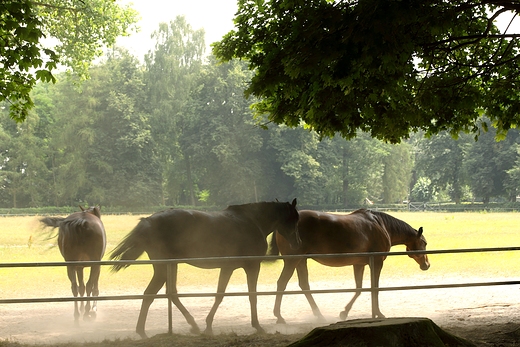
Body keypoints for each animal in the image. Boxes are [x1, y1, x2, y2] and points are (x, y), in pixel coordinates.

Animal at [109, 200, 300, 338]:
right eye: (294, 219)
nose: (297, 243)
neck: (252, 222)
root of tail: (149, 221)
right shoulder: (252, 267)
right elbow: (252, 296)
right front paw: (258, 326)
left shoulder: (228, 268)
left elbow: (219, 295)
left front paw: (208, 325)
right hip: (163, 268)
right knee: (150, 294)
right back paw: (142, 331)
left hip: (171, 266)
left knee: (171, 293)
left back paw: (193, 325)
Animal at [268, 209, 430, 326]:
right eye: (425, 243)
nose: (426, 265)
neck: (381, 225)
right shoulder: (377, 262)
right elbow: (375, 288)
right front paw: (379, 313)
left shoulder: (359, 264)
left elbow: (359, 288)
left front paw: (344, 313)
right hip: (292, 261)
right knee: (282, 283)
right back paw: (279, 317)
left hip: (301, 261)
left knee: (304, 285)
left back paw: (319, 315)